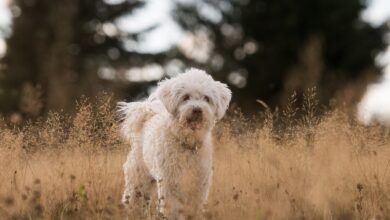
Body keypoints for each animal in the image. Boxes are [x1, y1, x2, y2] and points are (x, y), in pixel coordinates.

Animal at [117, 68, 230, 219]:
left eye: (207, 98)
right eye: (186, 97)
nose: (197, 109)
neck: (187, 144)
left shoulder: (199, 185)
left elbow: (195, 209)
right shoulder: (170, 183)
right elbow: (172, 209)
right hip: (138, 182)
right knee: (133, 203)